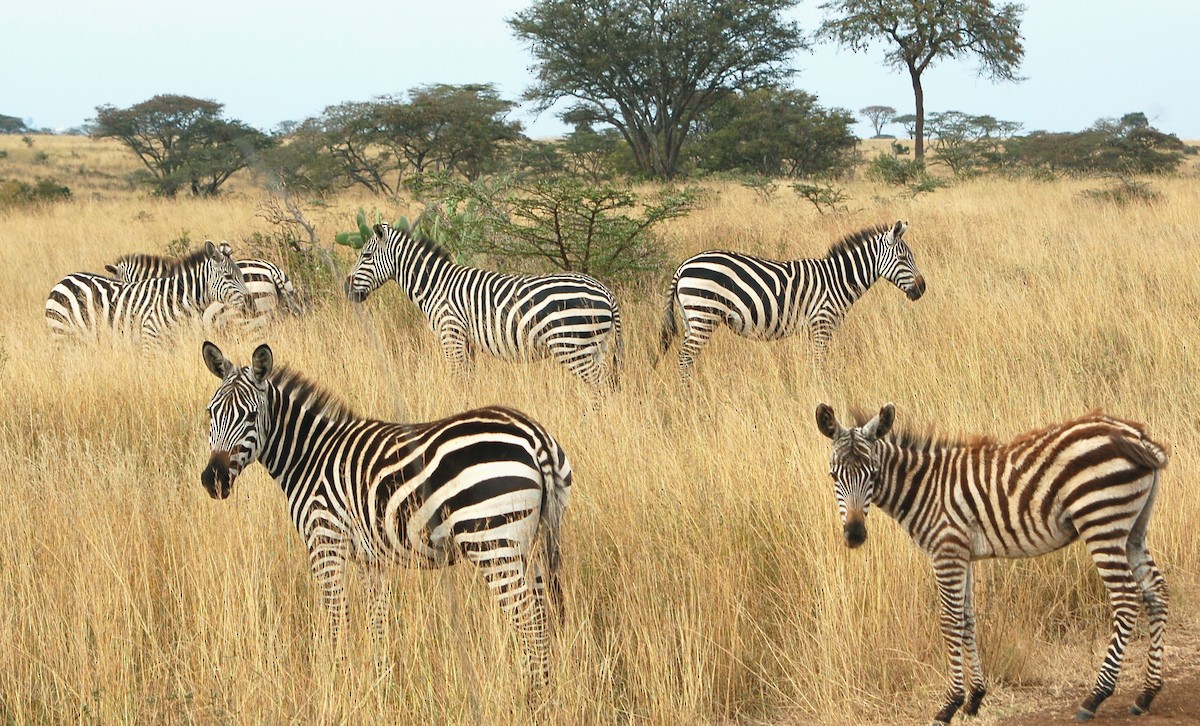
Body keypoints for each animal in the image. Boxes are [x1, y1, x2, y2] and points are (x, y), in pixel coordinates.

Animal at [45, 240, 250, 351]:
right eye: (229, 277)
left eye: (241, 275)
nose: (251, 303)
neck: (173, 300)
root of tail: (64, 279)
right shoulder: (149, 340)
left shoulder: (171, 343)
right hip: (61, 334)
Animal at [199, 341, 573, 688]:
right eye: (211, 412)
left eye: (250, 417)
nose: (213, 479)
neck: (309, 457)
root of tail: (534, 436)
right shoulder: (369, 558)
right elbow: (376, 620)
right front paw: (380, 680)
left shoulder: (325, 541)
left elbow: (337, 617)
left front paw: (339, 680)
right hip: (531, 541)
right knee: (541, 613)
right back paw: (544, 686)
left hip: (494, 542)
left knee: (527, 617)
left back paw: (531, 692)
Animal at [344, 223, 622, 400]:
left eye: (366, 255)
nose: (346, 289)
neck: (435, 285)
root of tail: (606, 292)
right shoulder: (465, 341)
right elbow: (468, 380)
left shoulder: (451, 333)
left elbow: (457, 378)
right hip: (595, 346)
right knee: (602, 383)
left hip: (572, 345)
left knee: (600, 384)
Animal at [657, 221, 925, 384]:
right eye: (903, 258)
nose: (922, 289)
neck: (838, 279)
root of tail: (683, 265)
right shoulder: (822, 323)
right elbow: (819, 362)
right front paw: (821, 389)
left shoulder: (812, 328)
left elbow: (811, 361)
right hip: (704, 314)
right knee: (684, 358)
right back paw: (689, 396)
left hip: (691, 318)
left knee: (687, 358)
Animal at [814, 403, 1169, 724]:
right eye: (833, 476)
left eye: (873, 474)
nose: (855, 535)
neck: (924, 489)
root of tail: (1135, 434)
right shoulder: (963, 554)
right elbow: (968, 619)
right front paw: (975, 698)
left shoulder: (946, 551)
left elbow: (950, 621)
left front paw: (950, 704)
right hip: (1133, 528)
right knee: (1157, 591)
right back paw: (1147, 694)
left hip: (1101, 520)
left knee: (1126, 598)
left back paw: (1096, 696)